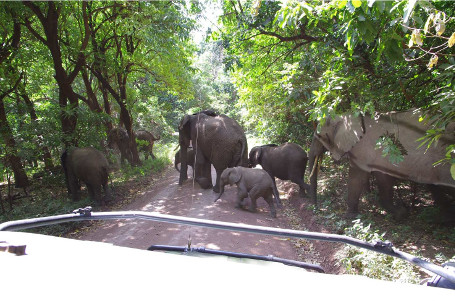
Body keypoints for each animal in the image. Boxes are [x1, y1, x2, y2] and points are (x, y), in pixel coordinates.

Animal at [308, 108, 455, 220]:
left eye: (319, 137)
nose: (316, 208)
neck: (347, 115)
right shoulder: (379, 156)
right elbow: (384, 178)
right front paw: (401, 214)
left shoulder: (362, 151)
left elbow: (356, 178)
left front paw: (350, 217)